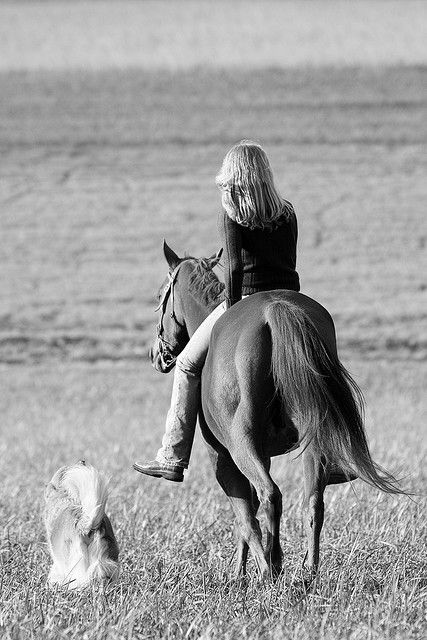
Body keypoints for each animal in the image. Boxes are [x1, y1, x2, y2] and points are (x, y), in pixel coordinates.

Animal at [149, 240, 402, 580]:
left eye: (159, 297)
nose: (156, 354)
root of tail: (274, 308)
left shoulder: (222, 456)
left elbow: (244, 513)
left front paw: (241, 574)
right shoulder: (264, 452)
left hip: (241, 444)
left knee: (270, 495)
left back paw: (270, 570)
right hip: (312, 440)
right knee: (312, 502)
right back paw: (307, 571)